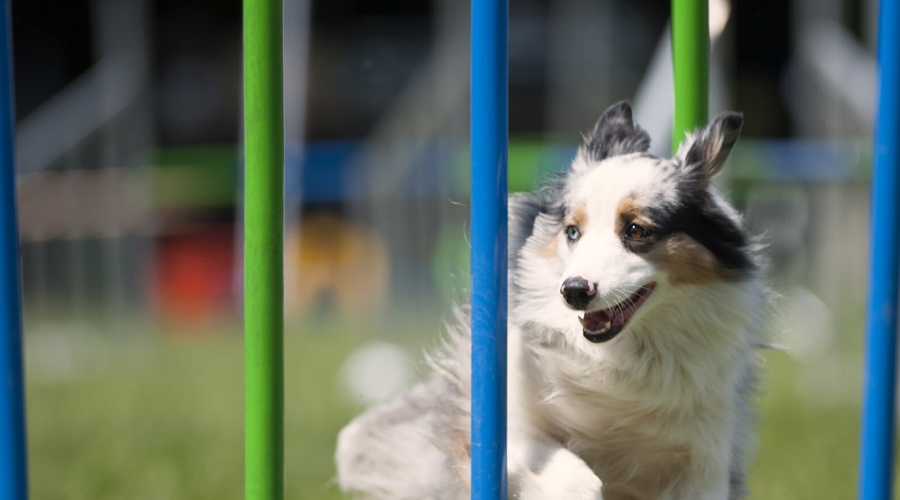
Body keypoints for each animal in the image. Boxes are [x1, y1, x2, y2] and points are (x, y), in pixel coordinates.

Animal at [334, 101, 768, 500]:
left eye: (635, 230)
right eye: (573, 231)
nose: (573, 291)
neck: (623, 357)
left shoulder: (706, 456)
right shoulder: (497, 423)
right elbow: (570, 475)